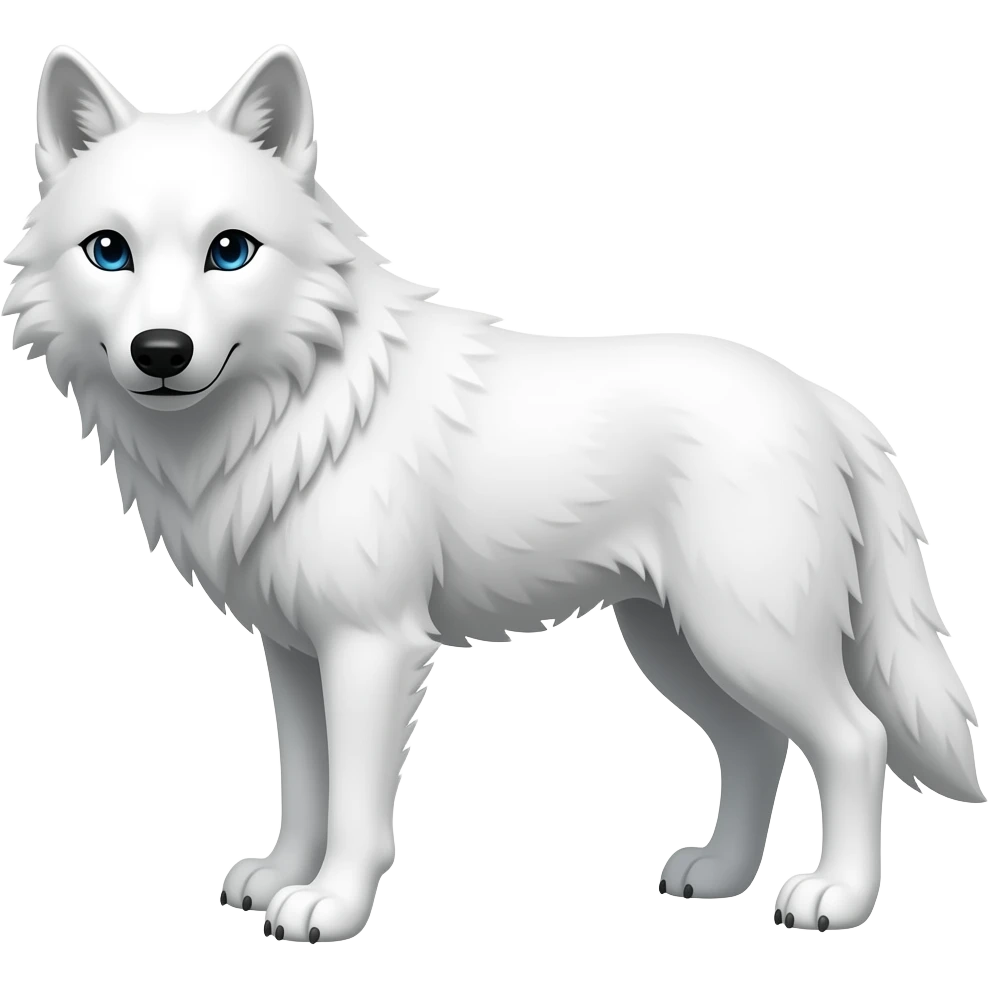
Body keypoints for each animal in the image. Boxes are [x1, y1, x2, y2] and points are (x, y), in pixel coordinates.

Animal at [3, 44, 982, 943]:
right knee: (755, 743)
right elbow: (307, 785)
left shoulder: (372, 647)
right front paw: (280, 880)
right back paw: (719, 876)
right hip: (677, 644)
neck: (299, 411)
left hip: (745, 638)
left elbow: (356, 808)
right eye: (110, 253)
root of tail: (827, 403)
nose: (161, 353)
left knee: (855, 739)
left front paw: (330, 906)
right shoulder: (293, 652)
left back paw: (836, 899)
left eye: (230, 252)